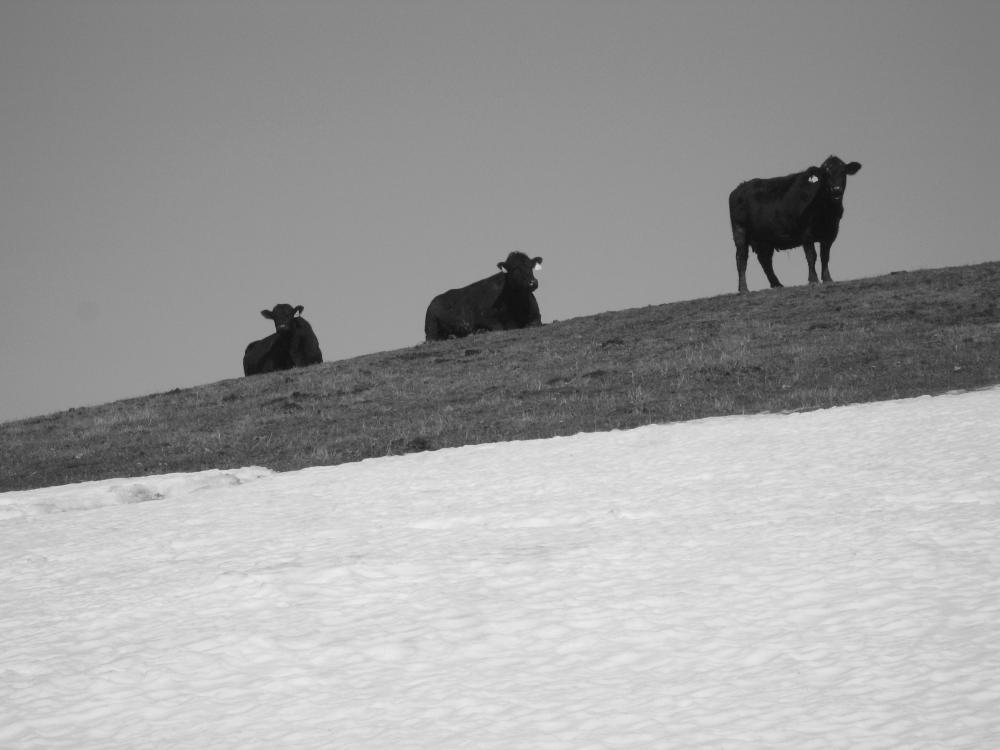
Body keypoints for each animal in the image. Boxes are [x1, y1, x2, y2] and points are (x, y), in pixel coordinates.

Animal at [728, 155, 860, 294]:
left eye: (843, 172)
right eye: (825, 174)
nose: (836, 190)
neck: (826, 210)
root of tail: (739, 188)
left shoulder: (831, 232)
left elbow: (825, 256)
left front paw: (827, 279)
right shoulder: (806, 232)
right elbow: (811, 255)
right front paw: (813, 280)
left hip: (765, 239)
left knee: (765, 261)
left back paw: (777, 284)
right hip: (740, 231)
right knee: (741, 258)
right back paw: (744, 288)